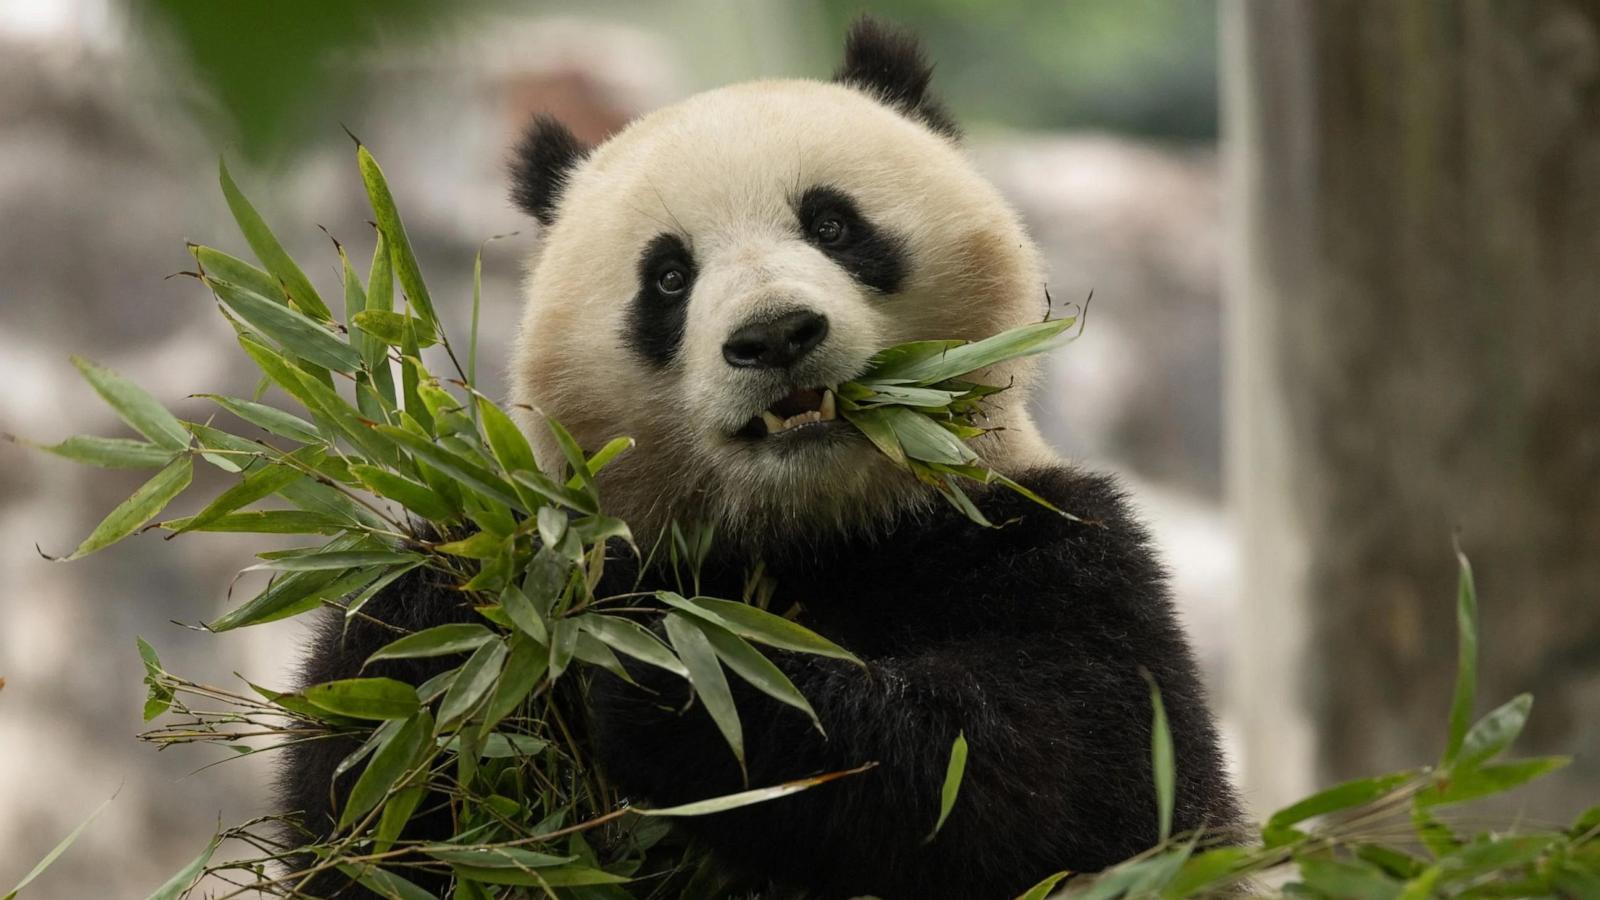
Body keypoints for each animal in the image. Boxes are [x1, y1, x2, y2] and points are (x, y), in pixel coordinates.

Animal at [284, 17, 1235, 890]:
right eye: (668, 277)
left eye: (833, 224)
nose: (775, 335)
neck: (810, 529)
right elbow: (368, 812)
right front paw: (454, 610)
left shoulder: (1047, 542)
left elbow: (1070, 777)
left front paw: (675, 677)